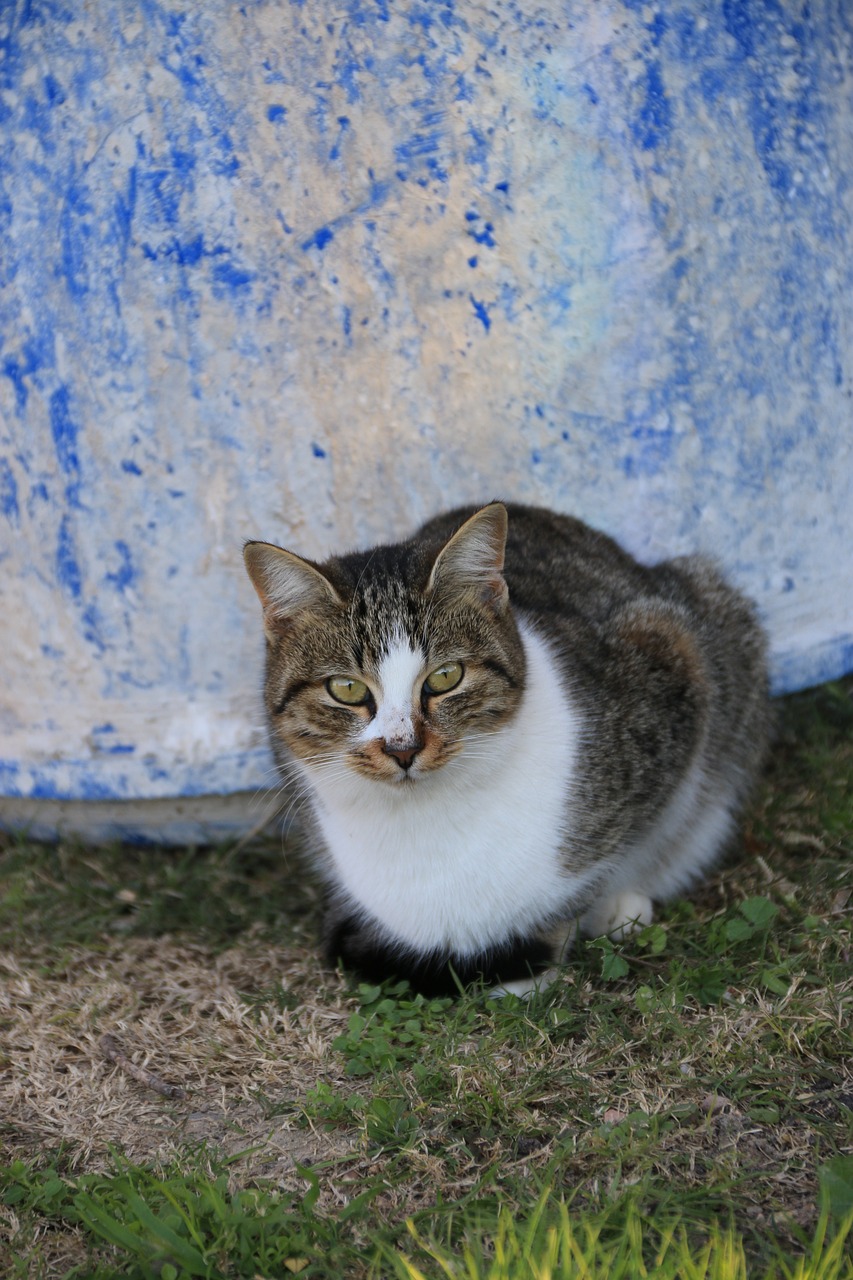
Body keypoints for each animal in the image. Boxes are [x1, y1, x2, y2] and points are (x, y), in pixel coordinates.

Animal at [242, 501, 768, 998]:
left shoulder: (670, 656)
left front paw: (538, 957)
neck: (428, 821)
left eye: (446, 676)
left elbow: (597, 872)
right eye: (346, 689)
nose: (403, 748)